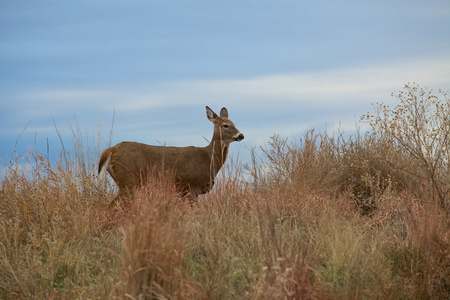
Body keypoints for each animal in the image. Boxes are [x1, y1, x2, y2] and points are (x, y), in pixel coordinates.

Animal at [97, 105, 243, 206]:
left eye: (234, 124)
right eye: (225, 125)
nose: (241, 135)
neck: (208, 160)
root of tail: (111, 150)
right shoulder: (192, 187)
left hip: (123, 181)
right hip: (128, 180)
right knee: (111, 206)